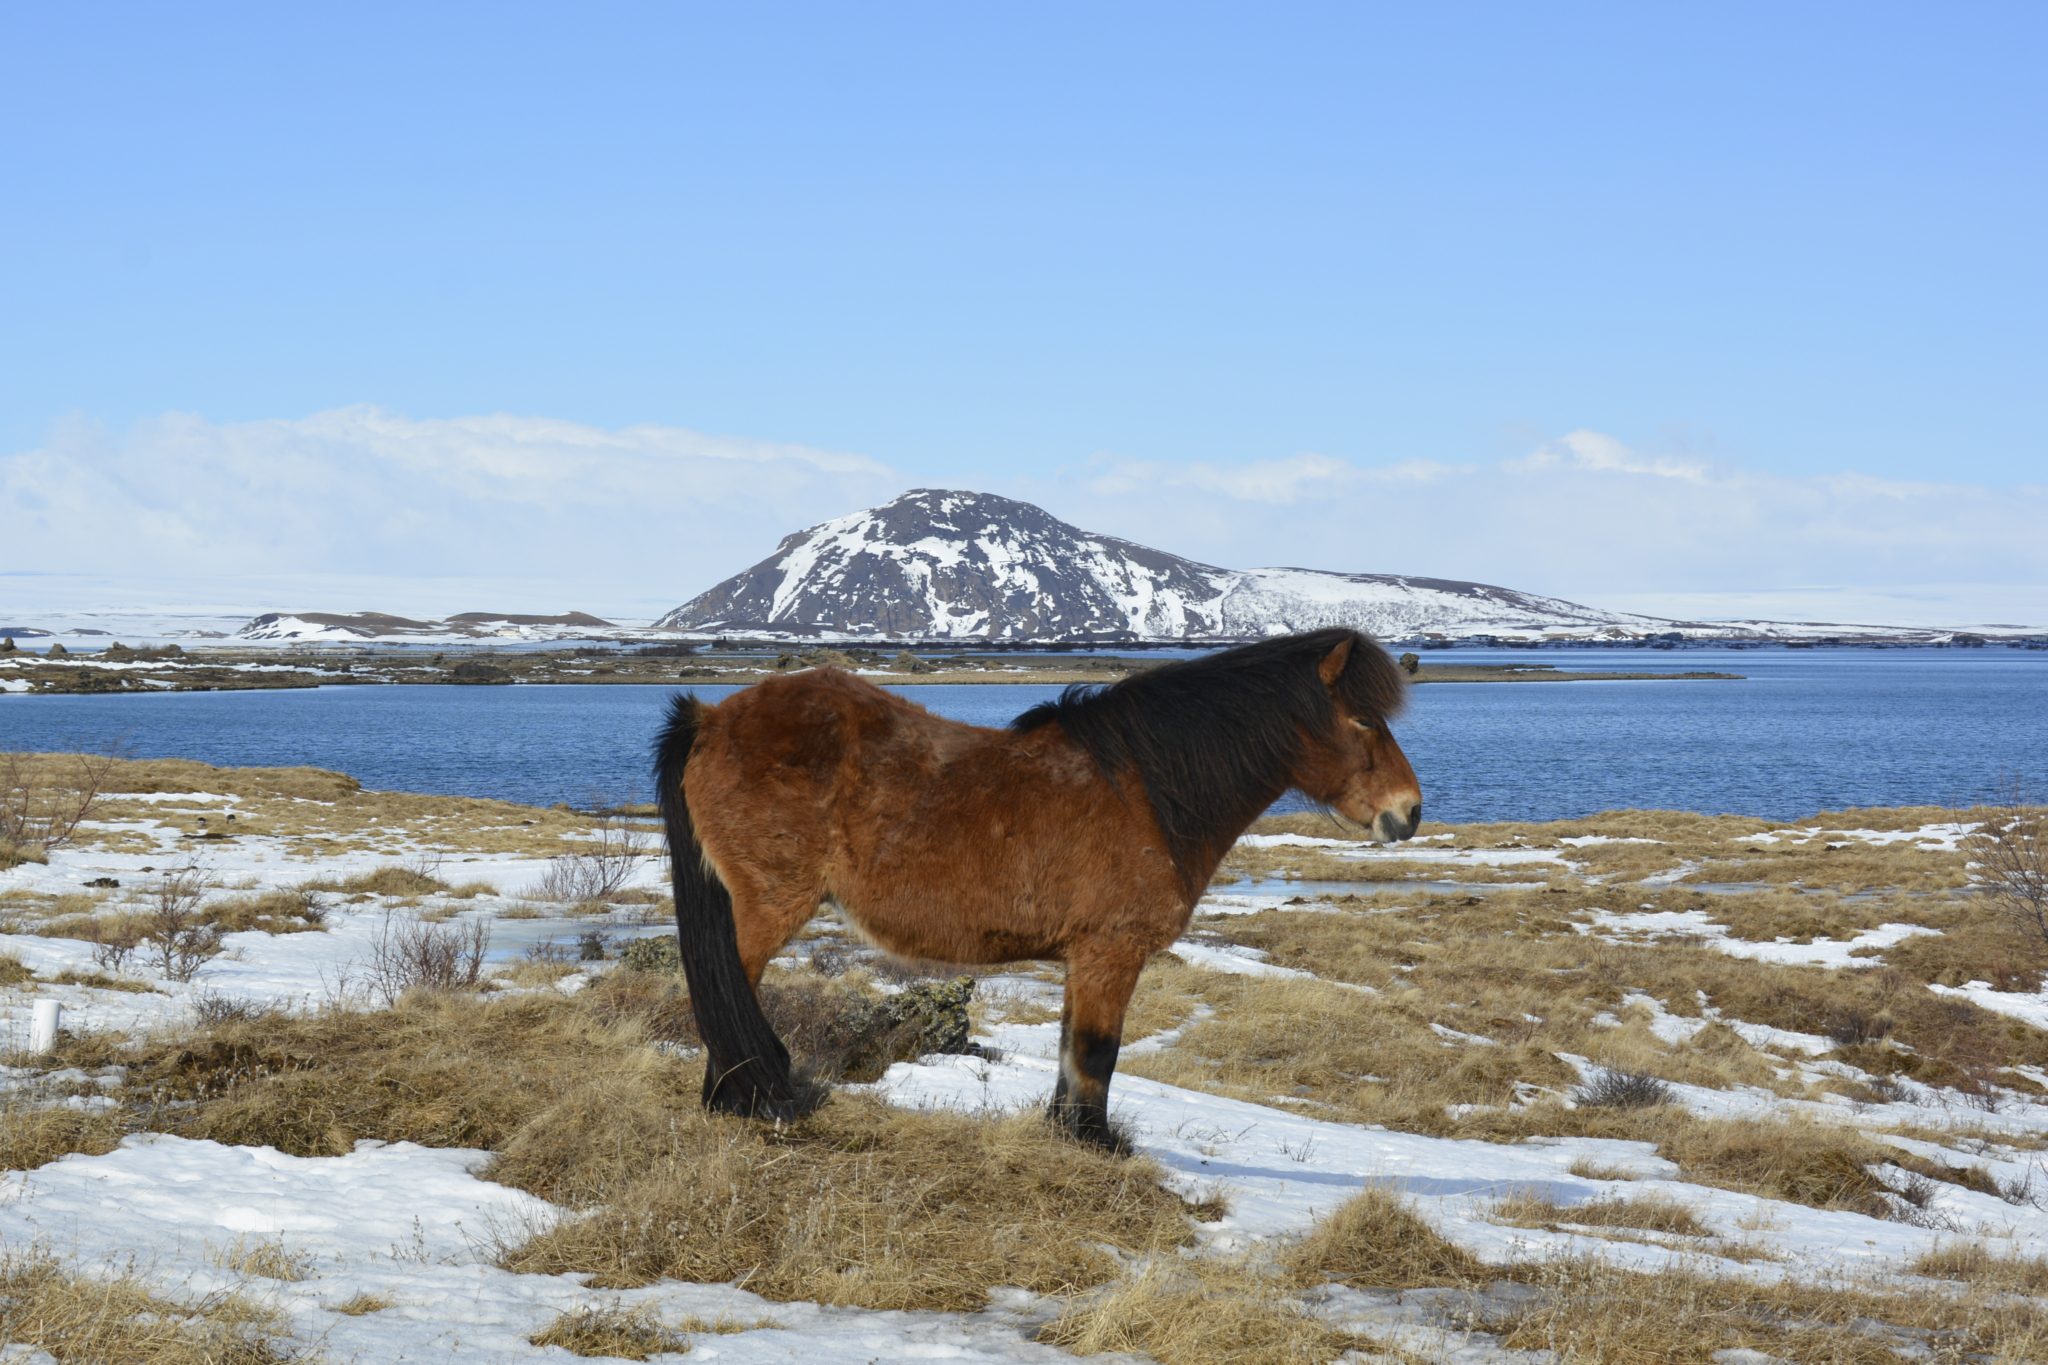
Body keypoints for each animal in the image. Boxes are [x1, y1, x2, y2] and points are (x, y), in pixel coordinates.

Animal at [655, 634, 1425, 1154]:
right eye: (1362, 721)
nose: (1410, 812)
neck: (1147, 790)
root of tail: (713, 718)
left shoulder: (1083, 958)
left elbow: (1070, 1050)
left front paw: (1066, 1133)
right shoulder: (1111, 952)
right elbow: (1097, 1052)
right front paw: (1097, 1145)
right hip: (764, 908)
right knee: (727, 992)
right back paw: (744, 1105)